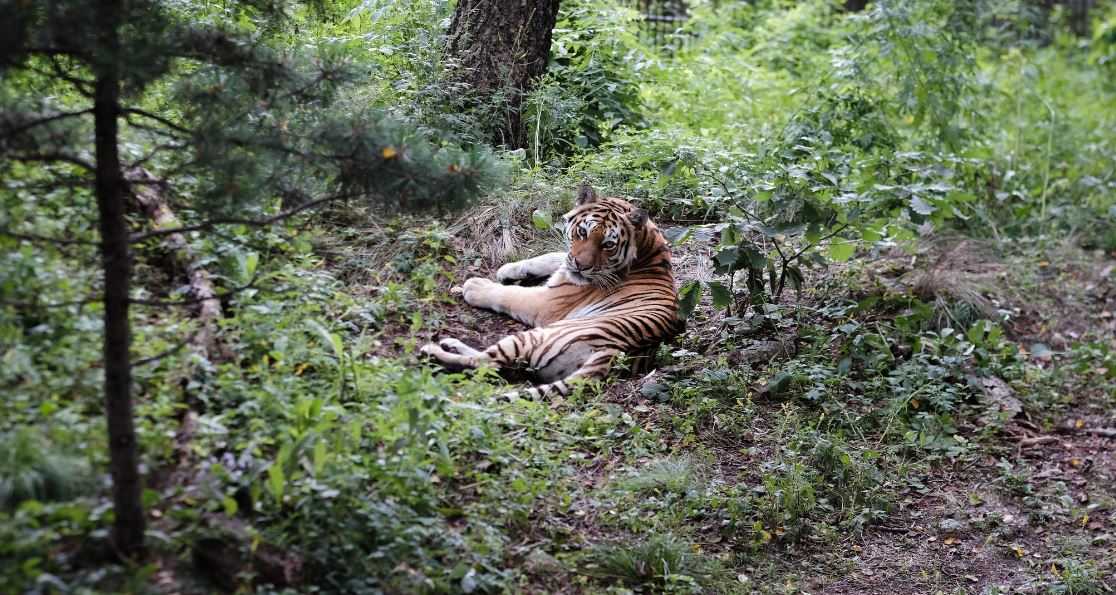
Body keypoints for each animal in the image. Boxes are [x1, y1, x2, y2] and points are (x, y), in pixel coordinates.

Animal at [419, 185, 678, 399]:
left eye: (608, 245)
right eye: (582, 233)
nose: (582, 266)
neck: (645, 244)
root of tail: (612, 355)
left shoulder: (548, 302)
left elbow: (510, 294)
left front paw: (476, 286)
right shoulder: (567, 262)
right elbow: (555, 256)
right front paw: (509, 268)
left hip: (536, 335)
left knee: (485, 362)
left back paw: (433, 351)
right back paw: (450, 344)